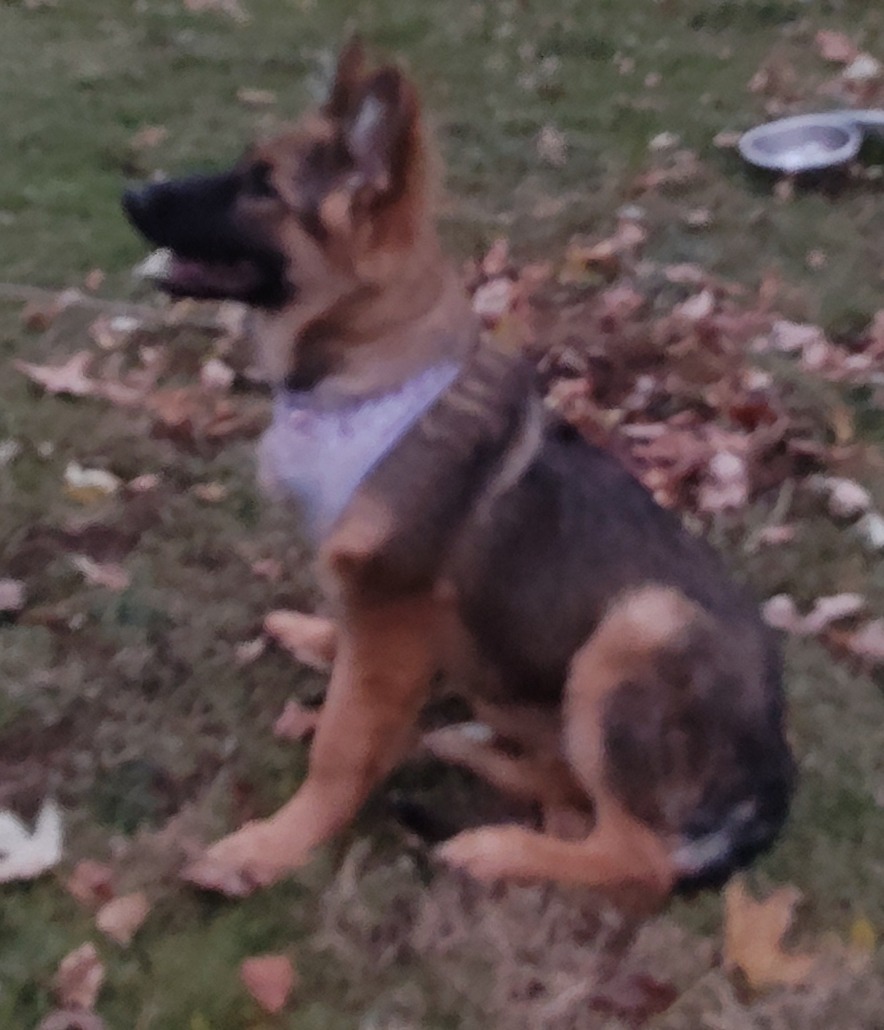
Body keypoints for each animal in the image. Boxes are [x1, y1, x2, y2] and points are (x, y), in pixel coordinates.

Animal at [122, 40, 794, 901]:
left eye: (262, 186)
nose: (130, 192)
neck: (365, 376)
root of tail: (773, 780)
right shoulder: (375, 605)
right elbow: (349, 658)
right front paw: (318, 638)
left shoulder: (394, 610)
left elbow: (340, 745)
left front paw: (274, 846)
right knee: (566, 790)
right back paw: (465, 747)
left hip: (640, 626)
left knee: (633, 858)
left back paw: (495, 849)